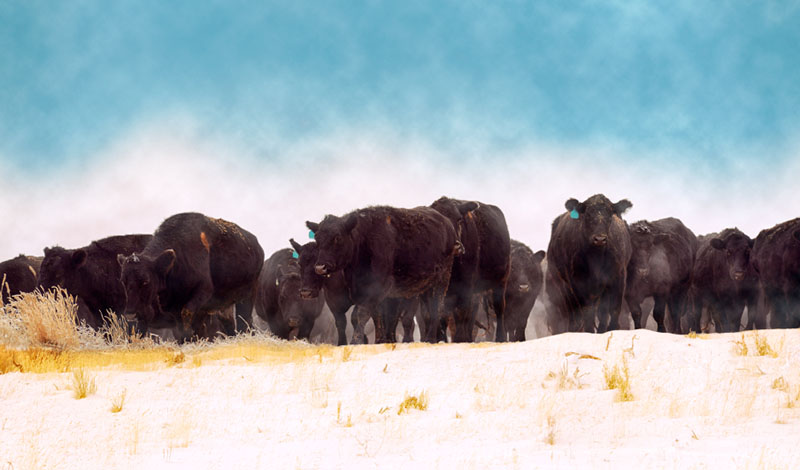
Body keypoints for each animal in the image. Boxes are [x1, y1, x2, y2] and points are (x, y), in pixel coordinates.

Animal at [118, 214, 262, 342]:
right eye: (123, 281)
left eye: (146, 281)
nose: (130, 313)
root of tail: (256, 245)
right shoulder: (175, 307)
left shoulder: (202, 293)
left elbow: (187, 316)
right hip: (225, 305)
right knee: (230, 324)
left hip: (247, 295)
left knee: (244, 320)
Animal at [304, 206, 460, 342]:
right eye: (317, 238)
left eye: (338, 238)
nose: (320, 267)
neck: (364, 243)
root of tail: (446, 223)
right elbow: (377, 317)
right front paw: (380, 341)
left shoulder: (377, 288)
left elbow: (360, 315)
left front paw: (356, 341)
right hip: (424, 287)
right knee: (426, 313)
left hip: (442, 280)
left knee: (436, 309)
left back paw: (430, 339)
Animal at [432, 196, 512, 344]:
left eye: (458, 219)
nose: (456, 245)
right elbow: (445, 316)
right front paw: (443, 340)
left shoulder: (466, 287)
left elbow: (462, 315)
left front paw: (460, 339)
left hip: (500, 282)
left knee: (499, 309)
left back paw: (500, 338)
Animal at [548, 195, 636, 334]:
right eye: (588, 214)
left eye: (610, 214)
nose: (600, 239)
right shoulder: (578, 282)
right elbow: (586, 311)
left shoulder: (618, 277)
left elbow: (613, 310)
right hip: (563, 286)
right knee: (574, 313)